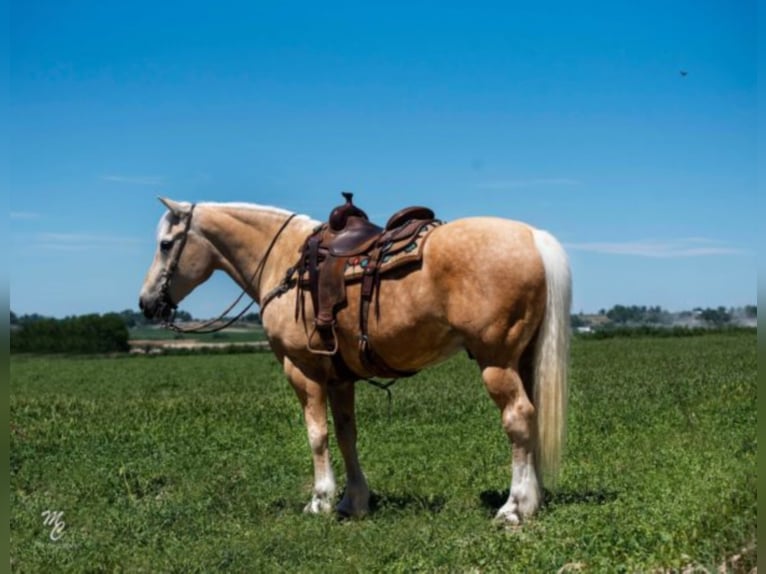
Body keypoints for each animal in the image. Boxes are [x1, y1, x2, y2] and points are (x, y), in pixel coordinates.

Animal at [138, 197, 572, 528]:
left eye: (166, 244)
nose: (146, 303)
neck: (284, 260)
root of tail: (533, 237)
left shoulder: (302, 370)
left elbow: (317, 435)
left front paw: (320, 500)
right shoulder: (340, 378)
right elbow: (348, 435)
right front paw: (354, 501)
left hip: (495, 361)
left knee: (518, 418)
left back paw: (514, 507)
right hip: (523, 359)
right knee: (532, 418)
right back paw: (533, 499)